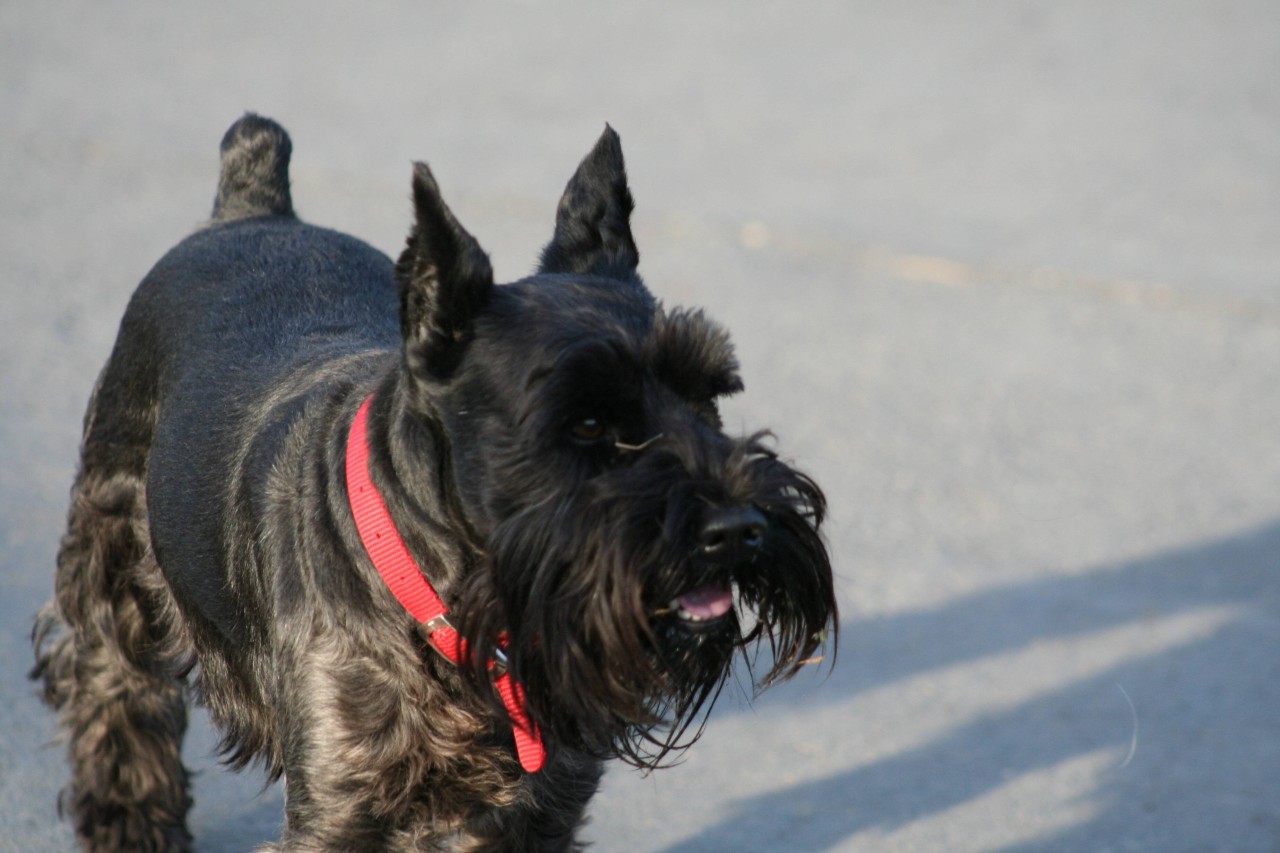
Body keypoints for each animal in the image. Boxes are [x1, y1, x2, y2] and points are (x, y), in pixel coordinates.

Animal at [32, 114, 839, 850]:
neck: (461, 608)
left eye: (709, 395)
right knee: (115, 694)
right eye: (583, 424)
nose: (739, 531)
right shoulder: (340, 805)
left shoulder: (540, 809)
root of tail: (254, 207)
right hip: (114, 564)